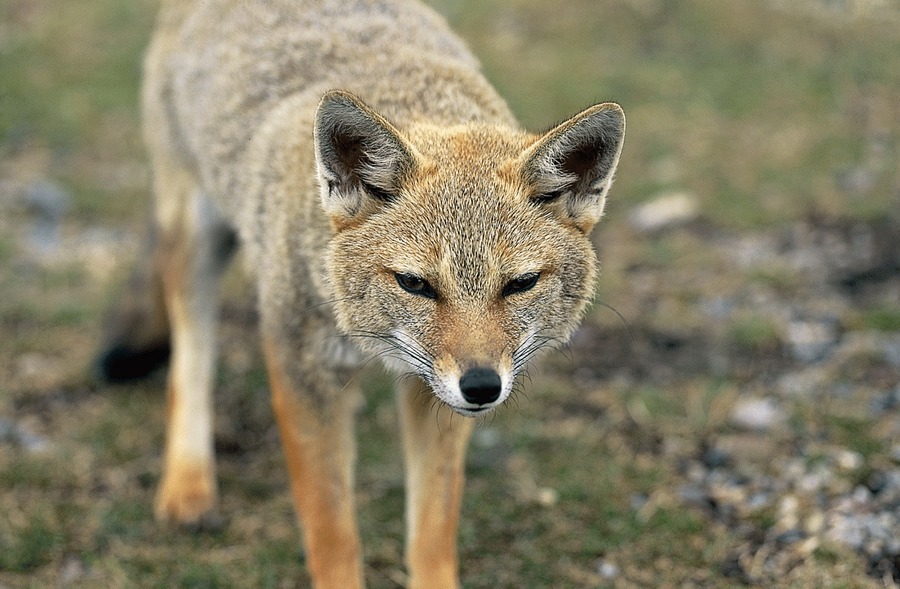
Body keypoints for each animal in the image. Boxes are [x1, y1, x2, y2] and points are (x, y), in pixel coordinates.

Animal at [95, 0, 624, 584]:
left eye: (520, 284)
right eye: (415, 284)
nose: (482, 387)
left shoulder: (432, 393)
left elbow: (431, 531)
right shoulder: (303, 371)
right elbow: (332, 532)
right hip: (194, 238)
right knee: (190, 357)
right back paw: (188, 483)